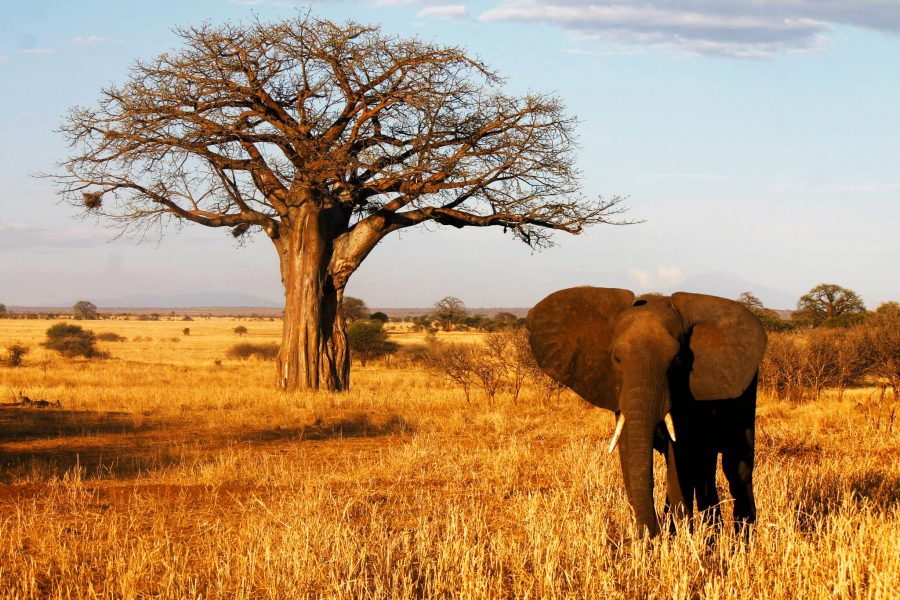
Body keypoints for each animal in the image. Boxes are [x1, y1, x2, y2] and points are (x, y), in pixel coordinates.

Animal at [528, 288, 768, 536]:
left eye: (677, 361)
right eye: (615, 359)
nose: (653, 532)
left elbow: (679, 455)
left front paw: (679, 537)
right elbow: (628, 450)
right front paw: (654, 539)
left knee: (736, 467)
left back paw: (740, 539)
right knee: (705, 469)